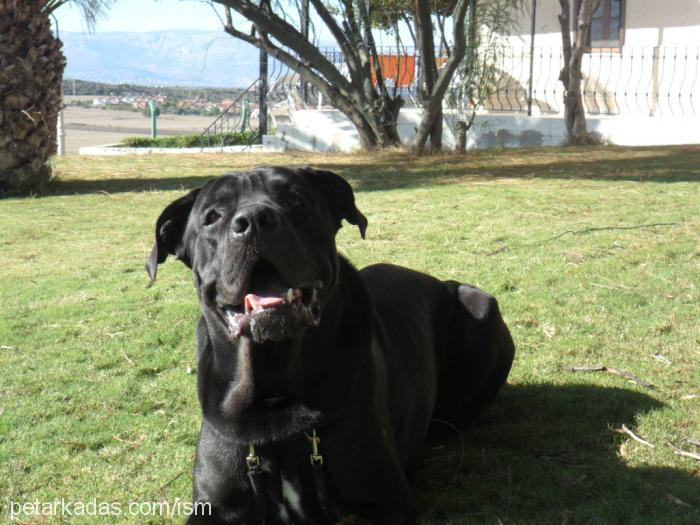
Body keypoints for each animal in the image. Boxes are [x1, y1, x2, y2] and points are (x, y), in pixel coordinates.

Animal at [146, 166, 516, 520]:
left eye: (297, 201)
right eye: (212, 216)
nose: (254, 221)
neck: (274, 388)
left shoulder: (383, 501)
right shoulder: (215, 503)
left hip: (479, 304)